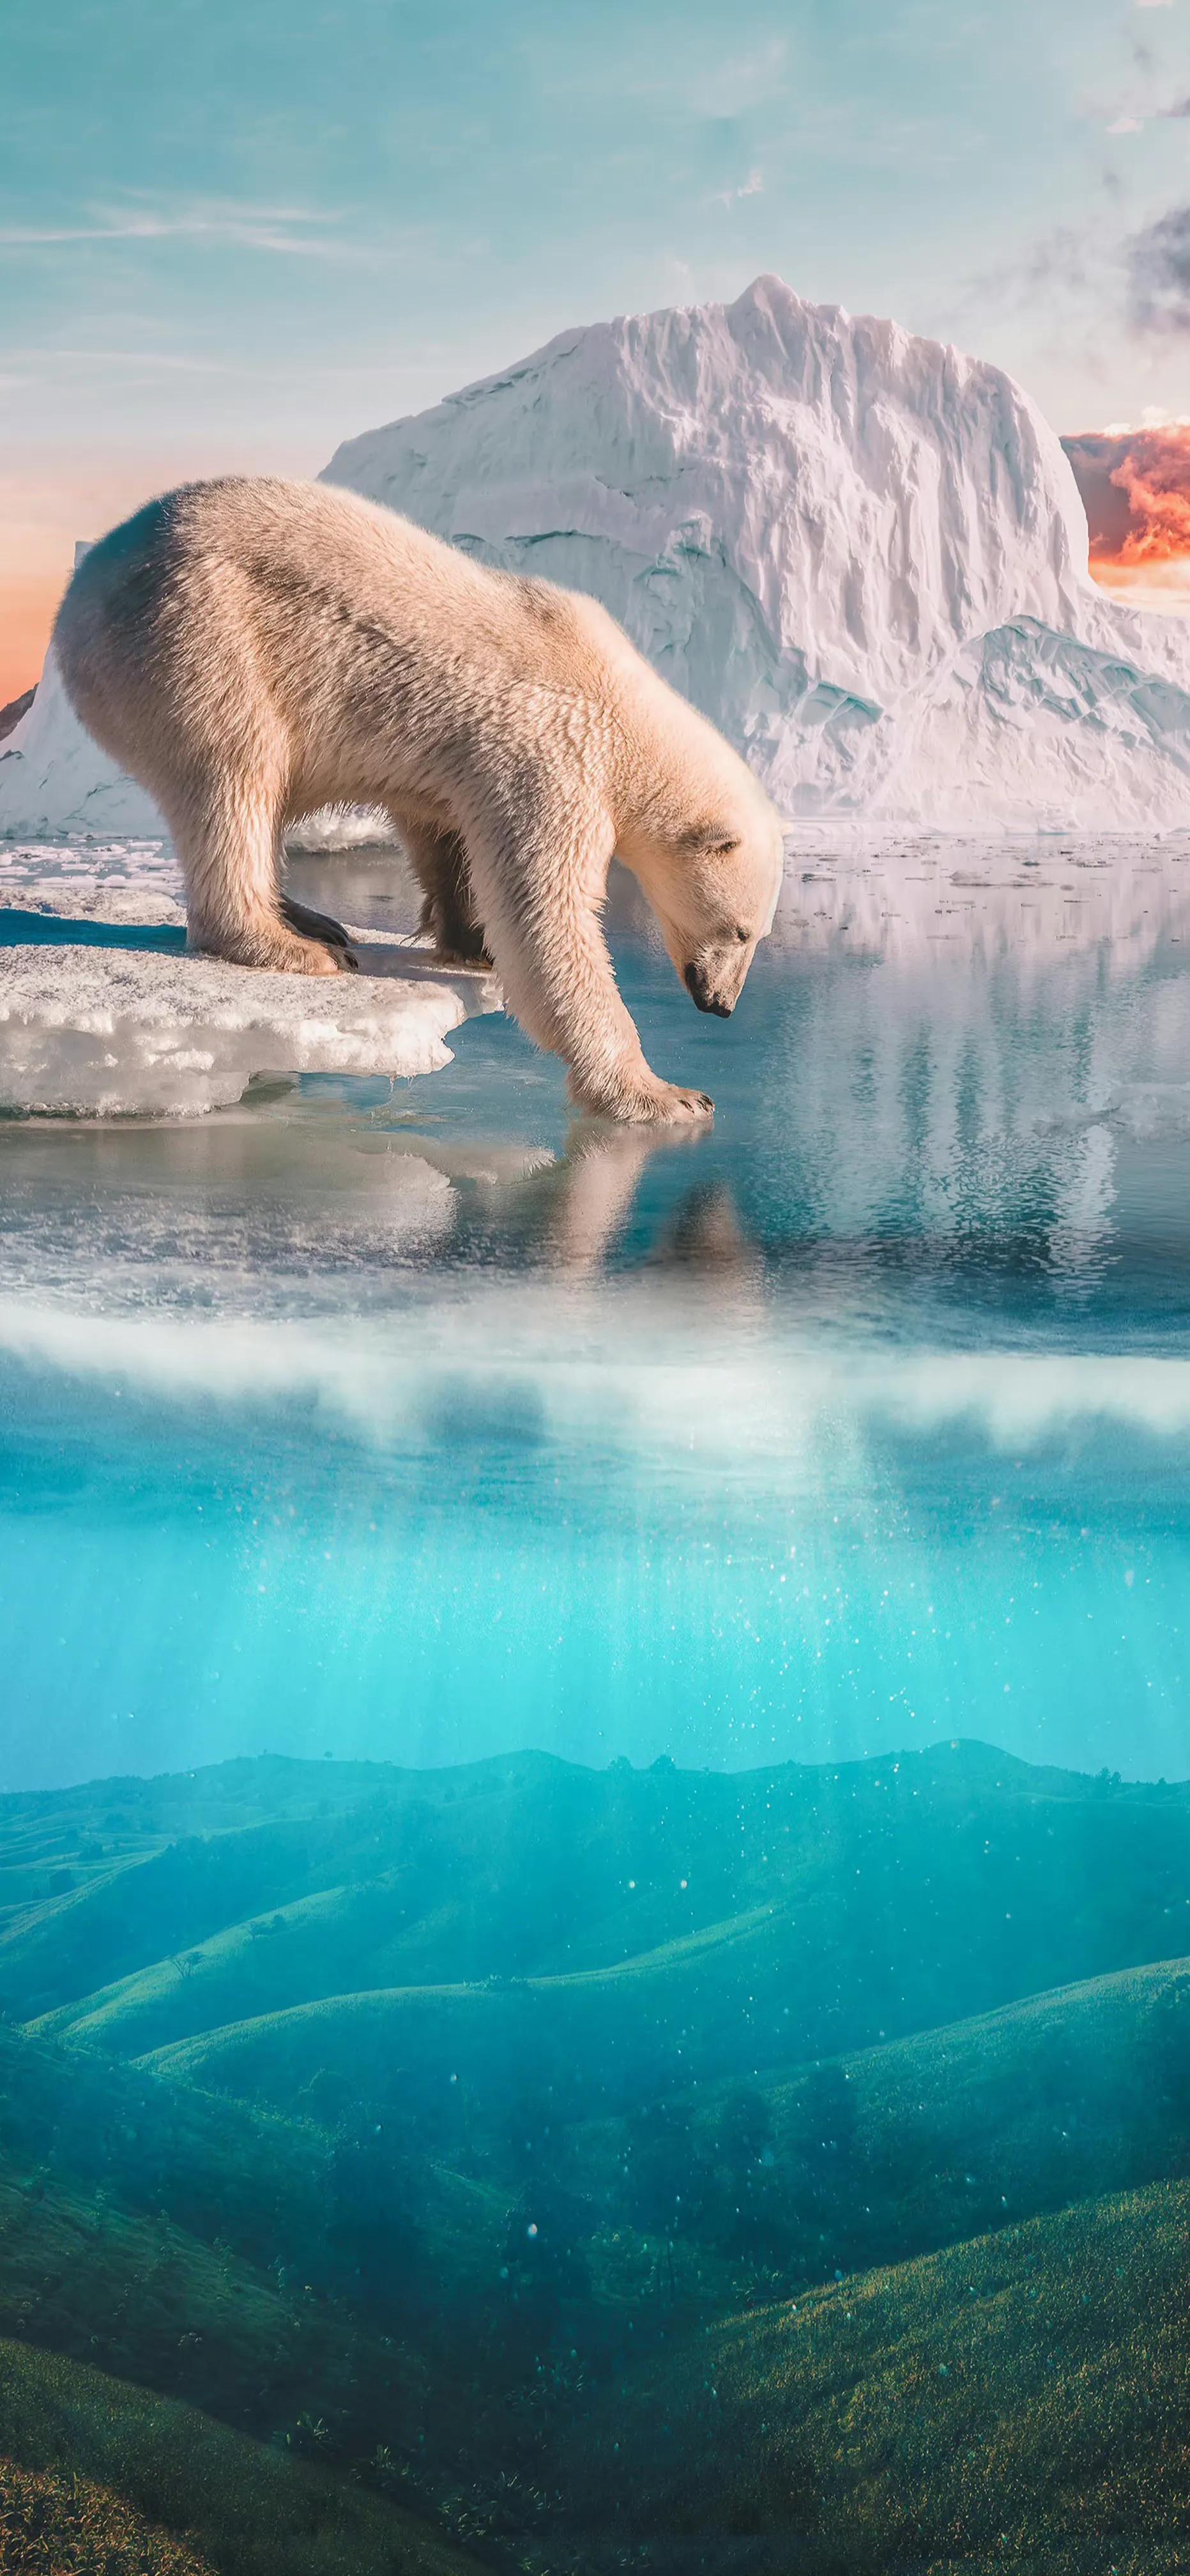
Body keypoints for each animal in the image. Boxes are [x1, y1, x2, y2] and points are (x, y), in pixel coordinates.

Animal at [56, 479, 782, 1123]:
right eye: (740, 931)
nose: (721, 1005)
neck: (624, 713)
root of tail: (83, 582)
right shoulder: (553, 754)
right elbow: (547, 917)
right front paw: (667, 1095)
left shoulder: (470, 762)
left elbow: (445, 834)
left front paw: (470, 942)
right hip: (199, 637)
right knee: (235, 774)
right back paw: (292, 946)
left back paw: (311, 919)